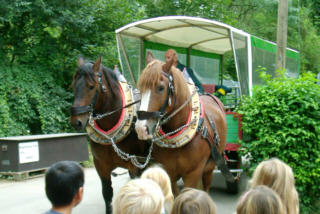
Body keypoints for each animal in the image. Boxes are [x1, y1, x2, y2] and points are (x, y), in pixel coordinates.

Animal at [69, 56, 149, 214]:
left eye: (91, 86)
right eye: (74, 86)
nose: (76, 122)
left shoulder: (136, 164)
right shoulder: (101, 166)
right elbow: (107, 194)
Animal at [134, 53, 234, 194]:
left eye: (161, 88)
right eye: (140, 88)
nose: (141, 128)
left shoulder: (193, 174)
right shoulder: (170, 172)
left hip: (210, 167)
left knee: (206, 187)